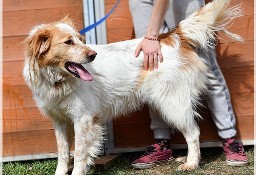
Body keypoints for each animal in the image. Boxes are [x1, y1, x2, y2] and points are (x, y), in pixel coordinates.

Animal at [23, 0, 242, 174]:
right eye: (69, 42)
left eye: (80, 39)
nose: (93, 55)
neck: (58, 81)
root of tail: (172, 36)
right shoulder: (59, 122)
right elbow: (62, 155)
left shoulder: (83, 120)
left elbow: (78, 155)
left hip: (173, 103)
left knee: (193, 133)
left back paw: (191, 163)